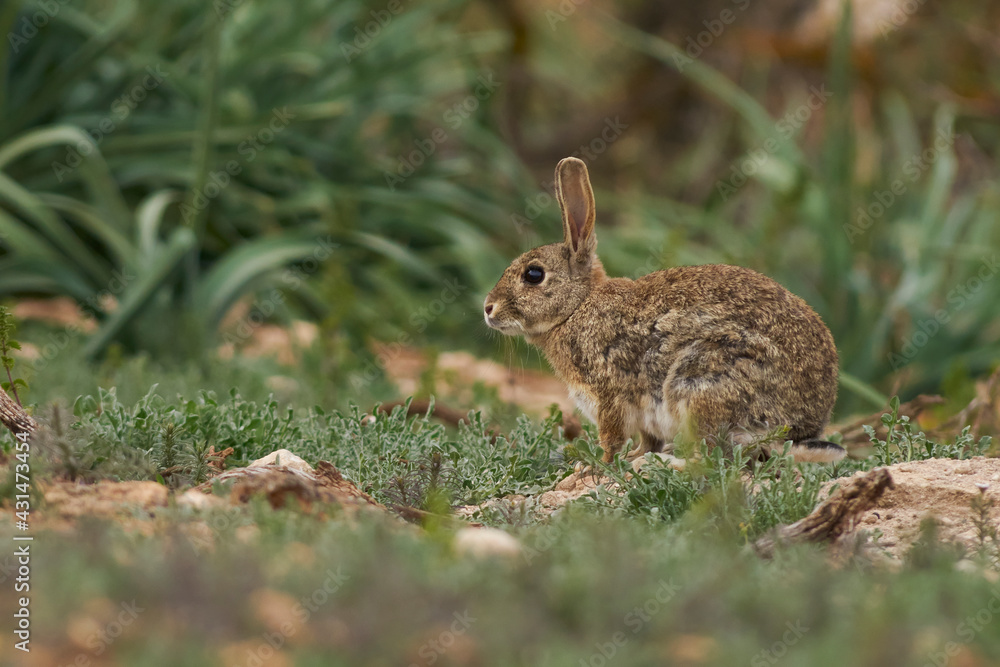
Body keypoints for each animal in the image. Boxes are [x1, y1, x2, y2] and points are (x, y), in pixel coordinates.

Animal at [484, 157, 844, 465]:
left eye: (533, 275)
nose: (488, 308)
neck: (577, 307)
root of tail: (797, 429)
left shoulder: (609, 394)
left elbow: (611, 438)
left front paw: (596, 467)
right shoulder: (642, 416)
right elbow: (647, 439)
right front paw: (634, 457)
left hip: (701, 382)